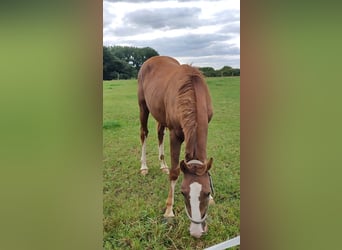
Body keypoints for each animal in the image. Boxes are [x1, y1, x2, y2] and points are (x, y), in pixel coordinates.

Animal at [137, 55, 214, 237]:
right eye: (183, 192)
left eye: (207, 192)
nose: (196, 232)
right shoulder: (175, 135)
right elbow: (174, 172)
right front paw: (169, 211)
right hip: (143, 106)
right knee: (144, 133)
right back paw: (144, 167)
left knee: (159, 133)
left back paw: (162, 165)